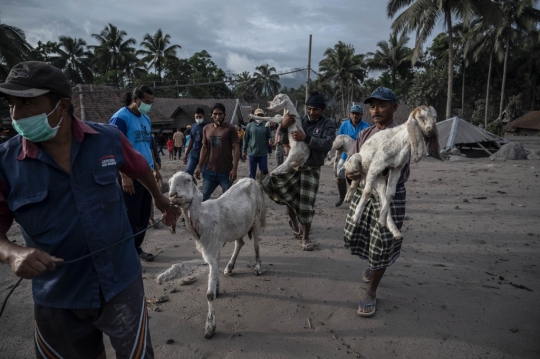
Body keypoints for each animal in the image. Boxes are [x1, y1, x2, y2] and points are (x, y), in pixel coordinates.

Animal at [158, 173, 268, 338]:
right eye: (169, 182)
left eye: (188, 180)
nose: (172, 195)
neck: (202, 218)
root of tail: (252, 180)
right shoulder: (213, 249)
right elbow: (214, 270)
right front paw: (217, 286)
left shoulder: (212, 248)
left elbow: (209, 295)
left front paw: (210, 327)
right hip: (239, 226)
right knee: (240, 243)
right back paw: (229, 267)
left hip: (256, 219)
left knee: (255, 244)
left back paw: (258, 267)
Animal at [344, 105, 440, 240]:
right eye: (421, 117)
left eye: (435, 117)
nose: (430, 131)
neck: (401, 142)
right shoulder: (376, 165)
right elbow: (366, 192)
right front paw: (356, 217)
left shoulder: (397, 168)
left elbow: (390, 195)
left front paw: (382, 221)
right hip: (355, 161)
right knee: (357, 180)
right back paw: (349, 195)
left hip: (379, 179)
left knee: (382, 194)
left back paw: (392, 229)